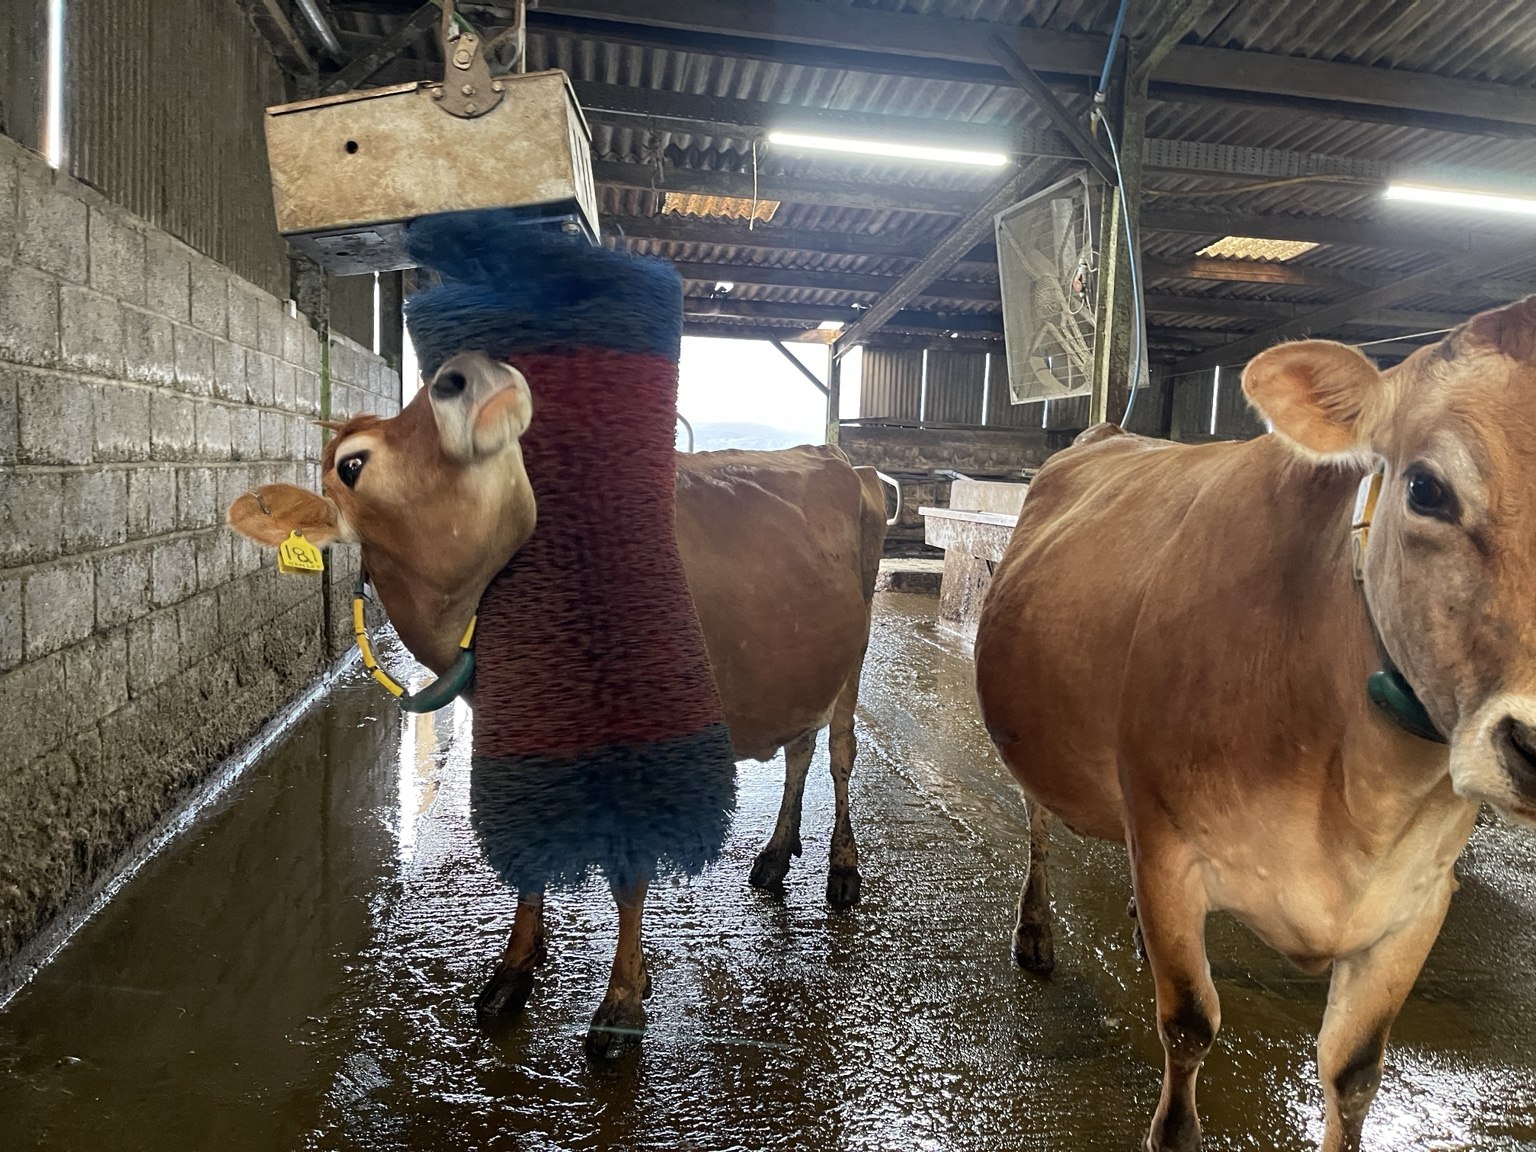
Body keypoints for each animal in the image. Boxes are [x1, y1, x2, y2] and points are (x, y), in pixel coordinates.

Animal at [227, 352, 888, 1053]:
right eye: (350, 465)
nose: (463, 370)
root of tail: (836, 457)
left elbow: (630, 869)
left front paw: (623, 1000)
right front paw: (515, 967)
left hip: (856, 650)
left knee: (840, 751)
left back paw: (842, 868)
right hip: (802, 664)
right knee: (800, 746)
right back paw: (775, 854)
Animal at [975, 296, 1536, 1152]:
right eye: (1427, 488)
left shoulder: (1419, 900)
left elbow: (1355, 1070)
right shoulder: (1170, 848)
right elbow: (1188, 1025)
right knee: (1037, 824)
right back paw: (1035, 933)